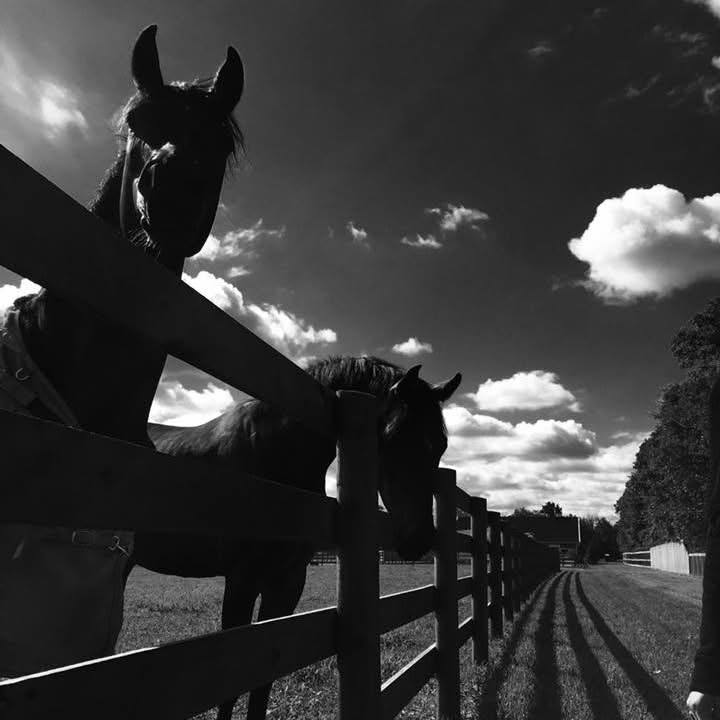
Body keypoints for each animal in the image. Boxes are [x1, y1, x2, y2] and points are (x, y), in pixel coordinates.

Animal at [127, 355, 462, 720]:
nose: (418, 538)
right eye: (395, 435)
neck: (276, 454)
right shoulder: (242, 579)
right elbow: (231, 681)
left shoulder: (286, 581)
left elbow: (265, 677)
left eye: (441, 445)